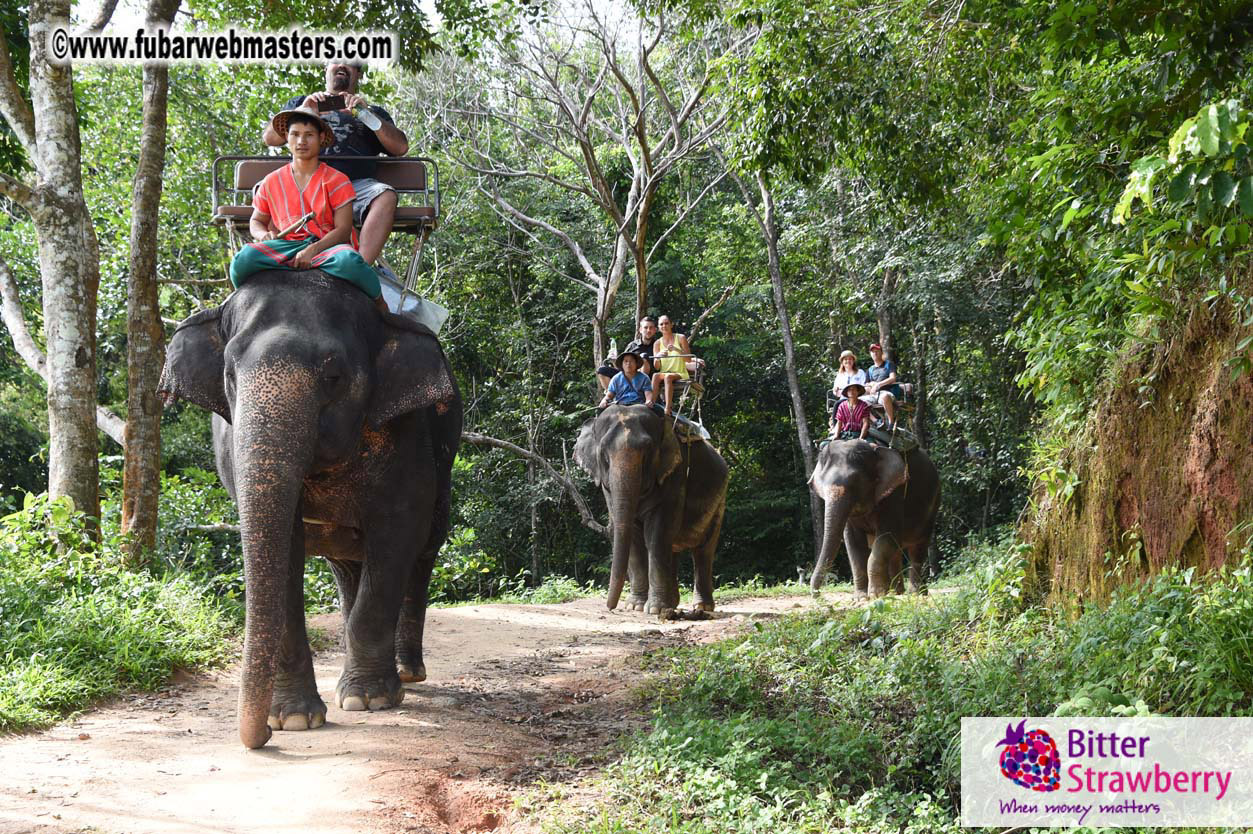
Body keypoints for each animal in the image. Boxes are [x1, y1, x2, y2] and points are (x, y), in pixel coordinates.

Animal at [157, 270, 461, 749]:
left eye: (333, 376)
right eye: (229, 375)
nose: (261, 737)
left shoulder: (408, 434)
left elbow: (397, 534)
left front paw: (368, 700)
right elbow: (285, 546)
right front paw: (294, 720)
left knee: (422, 550)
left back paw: (407, 675)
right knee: (349, 568)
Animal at [574, 404, 729, 615]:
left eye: (647, 452)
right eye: (604, 455)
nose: (610, 607)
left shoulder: (675, 474)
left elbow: (657, 534)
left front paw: (654, 609)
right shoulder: (607, 488)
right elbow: (634, 536)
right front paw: (636, 606)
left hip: (720, 500)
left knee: (703, 551)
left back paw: (702, 607)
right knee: (672, 548)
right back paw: (672, 604)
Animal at [808, 439, 940, 598]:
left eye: (856, 482)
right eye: (821, 485)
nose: (817, 595)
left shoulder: (894, 493)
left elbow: (886, 537)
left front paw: (876, 595)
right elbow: (854, 543)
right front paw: (861, 597)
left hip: (933, 505)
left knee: (917, 549)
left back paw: (916, 593)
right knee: (895, 551)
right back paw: (896, 592)